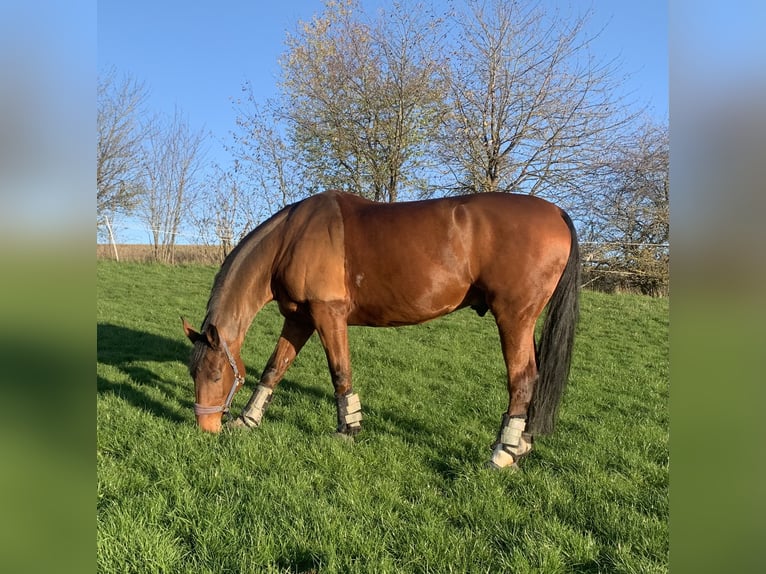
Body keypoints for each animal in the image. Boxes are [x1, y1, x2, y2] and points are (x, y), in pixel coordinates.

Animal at [184, 191, 584, 470]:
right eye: (193, 372)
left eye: (216, 374)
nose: (206, 428)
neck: (291, 237)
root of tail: (557, 213)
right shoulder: (299, 319)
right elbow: (274, 369)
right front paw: (248, 420)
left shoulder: (327, 315)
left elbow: (340, 373)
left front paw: (348, 430)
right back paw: (521, 445)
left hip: (514, 318)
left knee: (523, 380)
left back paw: (501, 454)